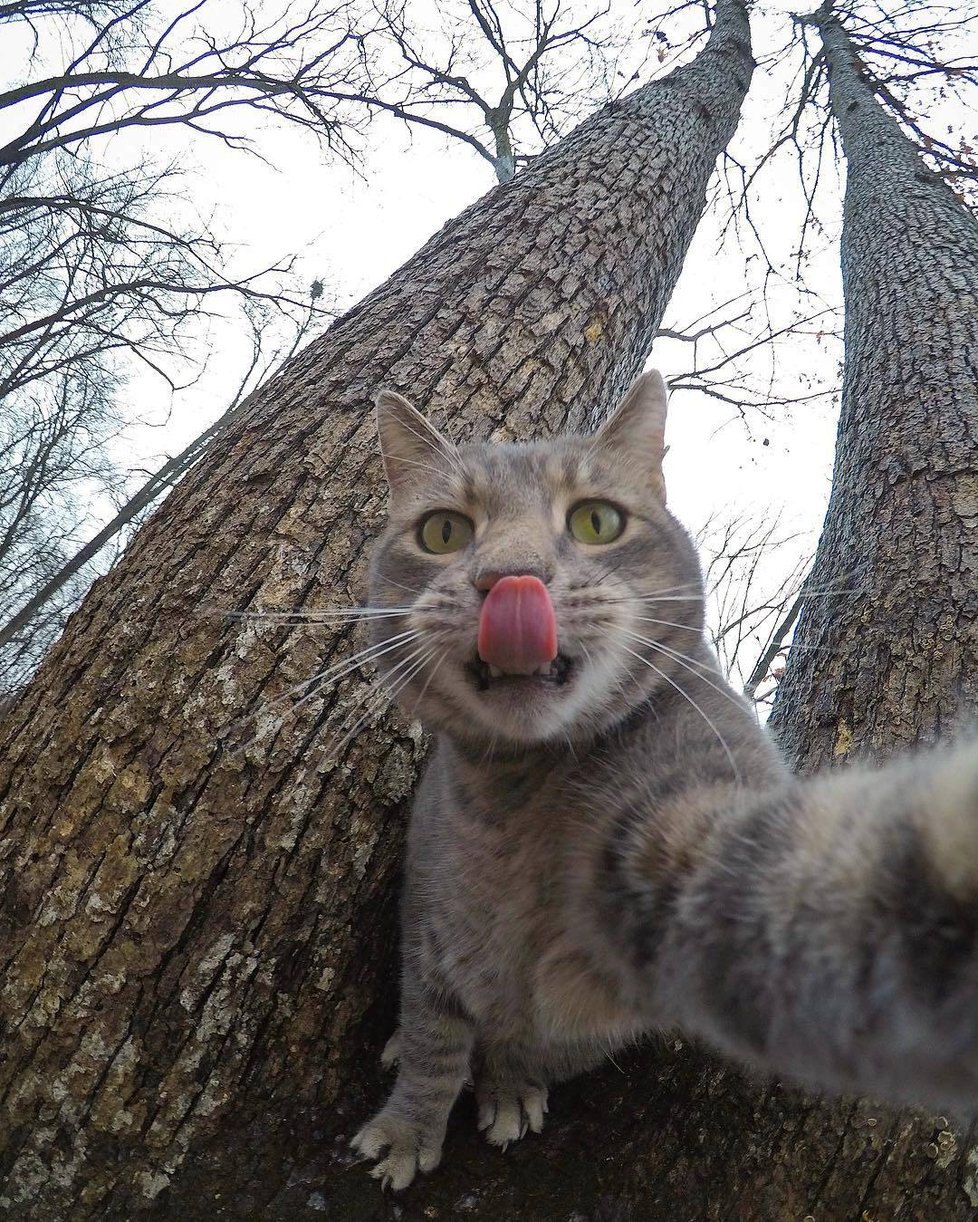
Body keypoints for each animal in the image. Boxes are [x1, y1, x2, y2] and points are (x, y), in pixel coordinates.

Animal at [347, 373, 978, 1192]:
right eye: (444, 533)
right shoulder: (429, 916)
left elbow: (537, 1040)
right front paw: (406, 1126)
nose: (511, 578)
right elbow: (432, 1036)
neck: (520, 793)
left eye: (597, 520)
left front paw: (511, 1082)